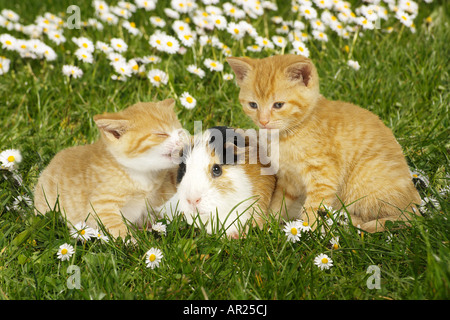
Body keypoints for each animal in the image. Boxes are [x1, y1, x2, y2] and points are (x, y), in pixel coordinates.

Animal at [33, 99, 185, 238]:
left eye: (179, 133)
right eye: (161, 134)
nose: (180, 142)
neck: (139, 173)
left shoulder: (160, 188)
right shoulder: (101, 205)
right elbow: (116, 226)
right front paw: (132, 244)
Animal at [229, 53, 422, 231]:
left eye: (278, 105)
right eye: (253, 105)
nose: (263, 121)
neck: (289, 134)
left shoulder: (323, 175)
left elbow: (313, 206)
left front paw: (308, 231)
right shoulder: (289, 178)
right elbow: (279, 201)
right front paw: (269, 223)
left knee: (404, 217)